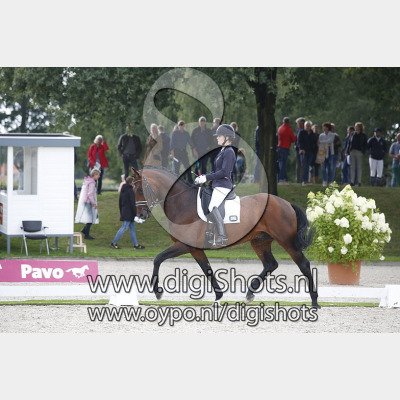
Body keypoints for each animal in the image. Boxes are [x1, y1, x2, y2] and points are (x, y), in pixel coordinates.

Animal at [131, 166, 320, 308]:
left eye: (140, 189)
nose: (140, 214)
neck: (183, 204)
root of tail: (286, 203)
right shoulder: (195, 249)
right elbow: (207, 270)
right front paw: (218, 297)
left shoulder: (184, 245)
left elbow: (158, 258)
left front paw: (157, 292)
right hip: (259, 241)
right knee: (270, 264)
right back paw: (250, 293)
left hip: (286, 240)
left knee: (303, 264)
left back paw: (315, 302)